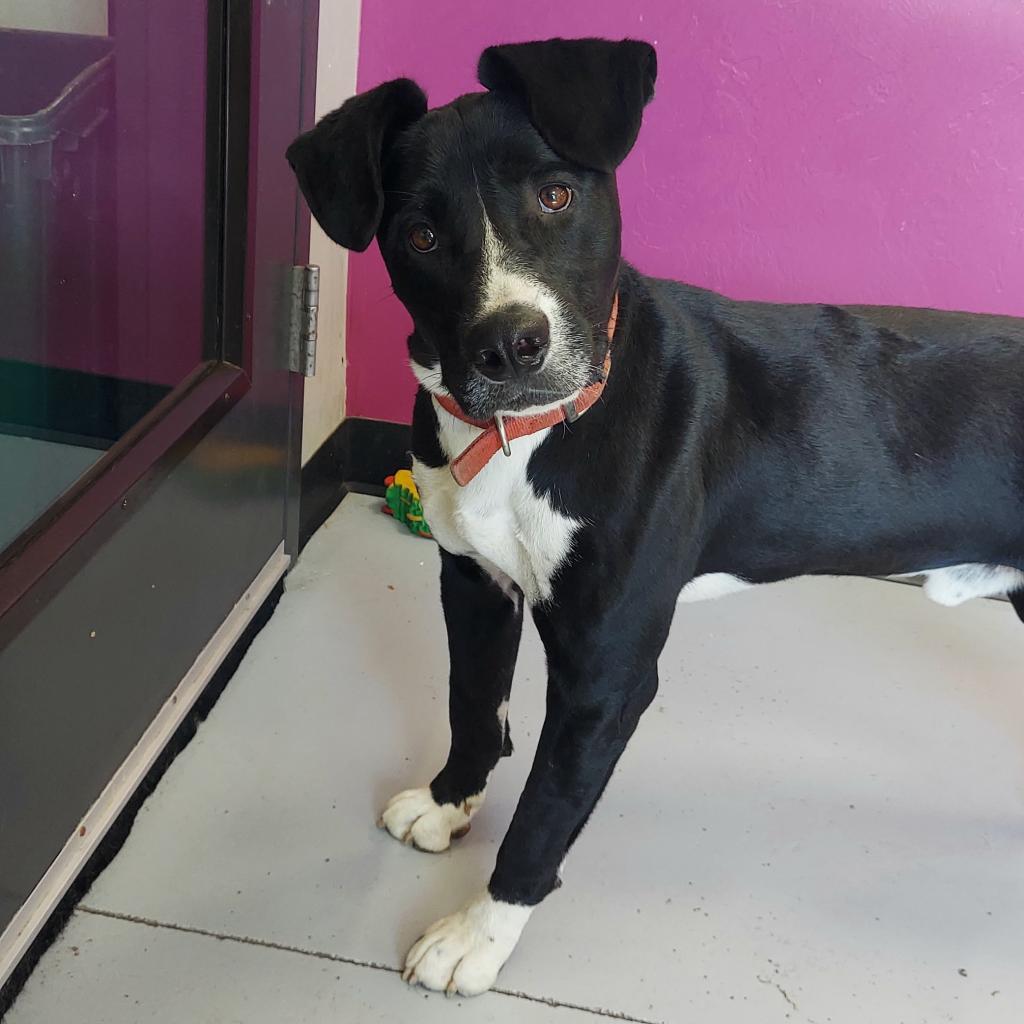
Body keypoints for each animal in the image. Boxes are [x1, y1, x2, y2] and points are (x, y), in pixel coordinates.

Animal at [286, 36, 1024, 995]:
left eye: (557, 194)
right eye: (420, 234)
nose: (509, 344)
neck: (524, 439)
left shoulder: (606, 673)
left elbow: (543, 817)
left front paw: (480, 932)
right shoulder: (473, 585)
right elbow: (472, 703)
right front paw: (450, 803)